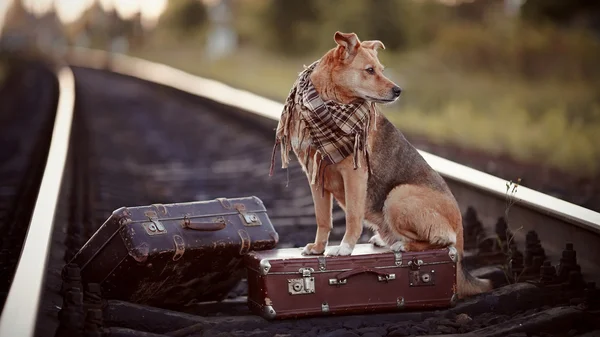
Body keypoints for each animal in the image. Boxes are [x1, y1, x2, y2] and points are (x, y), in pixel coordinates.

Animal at [270, 30, 492, 296]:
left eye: (382, 69)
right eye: (369, 70)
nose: (398, 91)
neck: (329, 106)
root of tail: (460, 239)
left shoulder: (354, 173)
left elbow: (353, 216)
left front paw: (344, 248)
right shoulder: (315, 174)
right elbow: (323, 219)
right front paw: (317, 248)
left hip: (398, 196)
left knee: (441, 241)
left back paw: (402, 245)